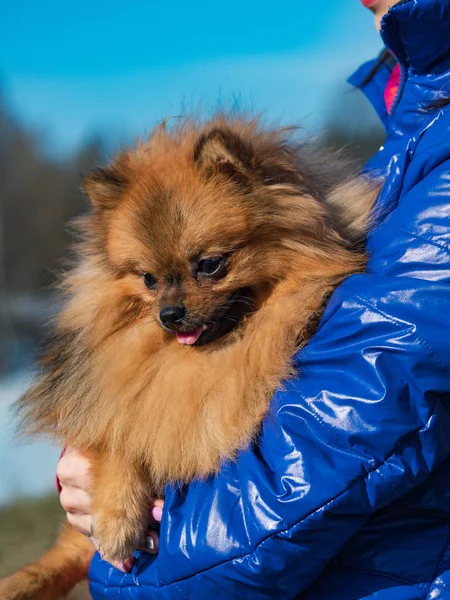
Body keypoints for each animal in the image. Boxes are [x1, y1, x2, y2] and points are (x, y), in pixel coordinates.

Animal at [0, 115, 380, 596]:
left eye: (210, 264)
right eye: (148, 279)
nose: (170, 314)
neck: (211, 359)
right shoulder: (121, 400)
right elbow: (121, 437)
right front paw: (117, 520)